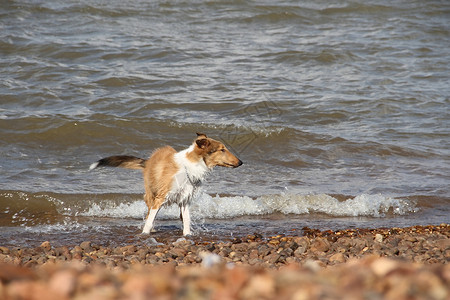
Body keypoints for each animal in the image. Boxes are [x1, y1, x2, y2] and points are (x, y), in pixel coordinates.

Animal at [89, 132, 243, 236]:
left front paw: (187, 236)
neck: (189, 167)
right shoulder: (160, 198)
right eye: (222, 149)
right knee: (149, 214)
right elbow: (150, 220)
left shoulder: (184, 200)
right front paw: (145, 234)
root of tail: (148, 161)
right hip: (151, 195)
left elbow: (187, 220)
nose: (241, 162)